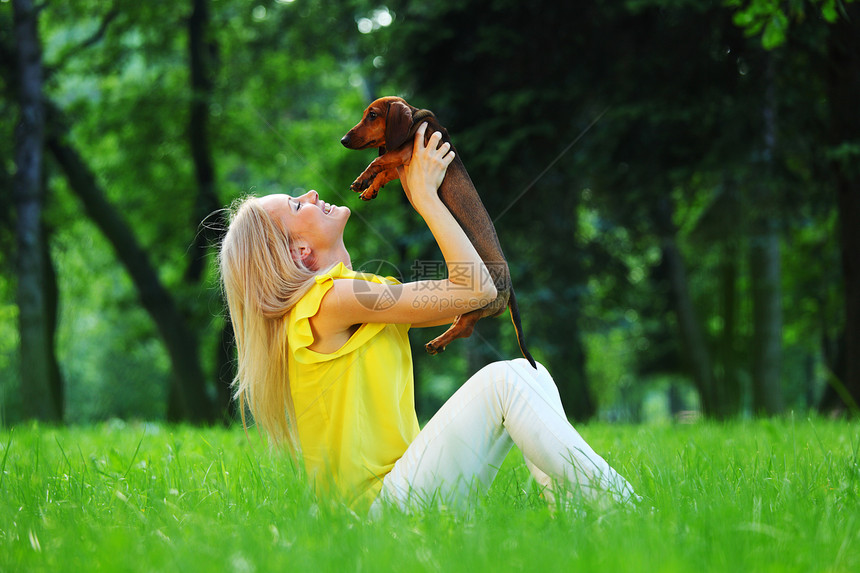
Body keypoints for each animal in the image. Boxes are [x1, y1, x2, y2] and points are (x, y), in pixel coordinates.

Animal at [340, 96, 532, 366]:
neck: (414, 122)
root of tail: (510, 286)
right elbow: (384, 171)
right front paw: (370, 188)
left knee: (466, 327)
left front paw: (362, 179)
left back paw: (438, 342)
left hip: (478, 303)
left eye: (373, 115)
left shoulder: (407, 151)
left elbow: (378, 161)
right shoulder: (402, 161)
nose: (343, 140)